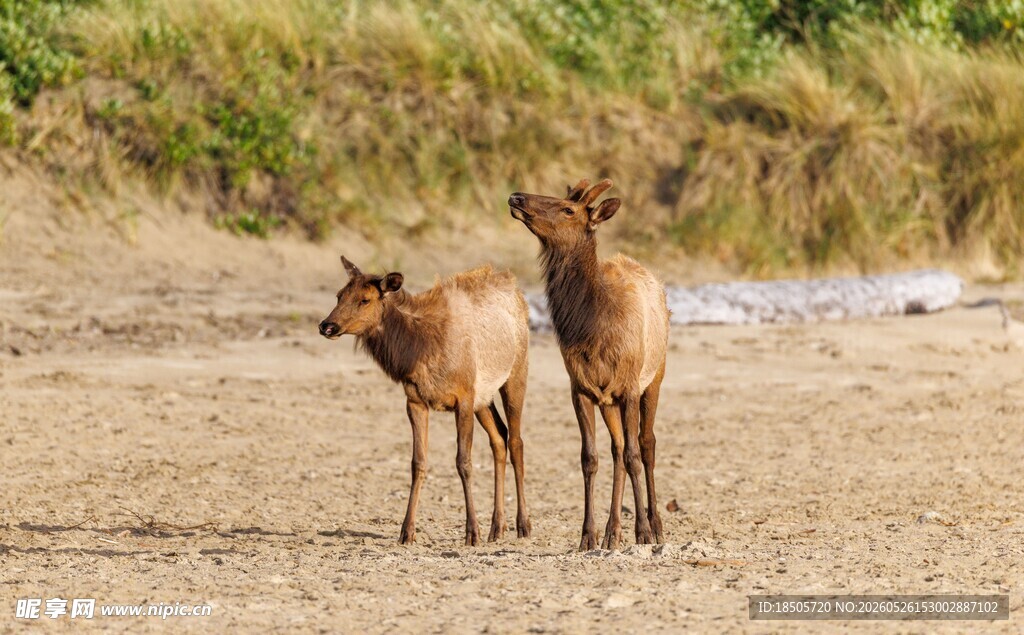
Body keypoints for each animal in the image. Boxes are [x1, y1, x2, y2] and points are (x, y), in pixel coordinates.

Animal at [318, 257, 532, 546]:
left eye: (365, 299)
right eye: (339, 295)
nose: (327, 325)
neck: (418, 351)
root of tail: (517, 290)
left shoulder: (464, 398)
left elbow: (463, 462)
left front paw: (471, 532)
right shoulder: (416, 400)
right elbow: (417, 463)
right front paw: (407, 531)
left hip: (515, 373)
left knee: (516, 441)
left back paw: (523, 525)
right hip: (484, 396)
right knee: (499, 438)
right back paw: (497, 527)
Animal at [508, 178, 669, 551]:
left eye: (568, 209)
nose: (516, 196)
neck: (592, 327)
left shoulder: (629, 386)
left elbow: (635, 455)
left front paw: (642, 531)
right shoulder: (581, 388)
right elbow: (590, 458)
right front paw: (588, 535)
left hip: (654, 377)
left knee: (646, 444)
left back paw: (655, 525)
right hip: (608, 401)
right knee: (618, 448)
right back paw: (613, 531)